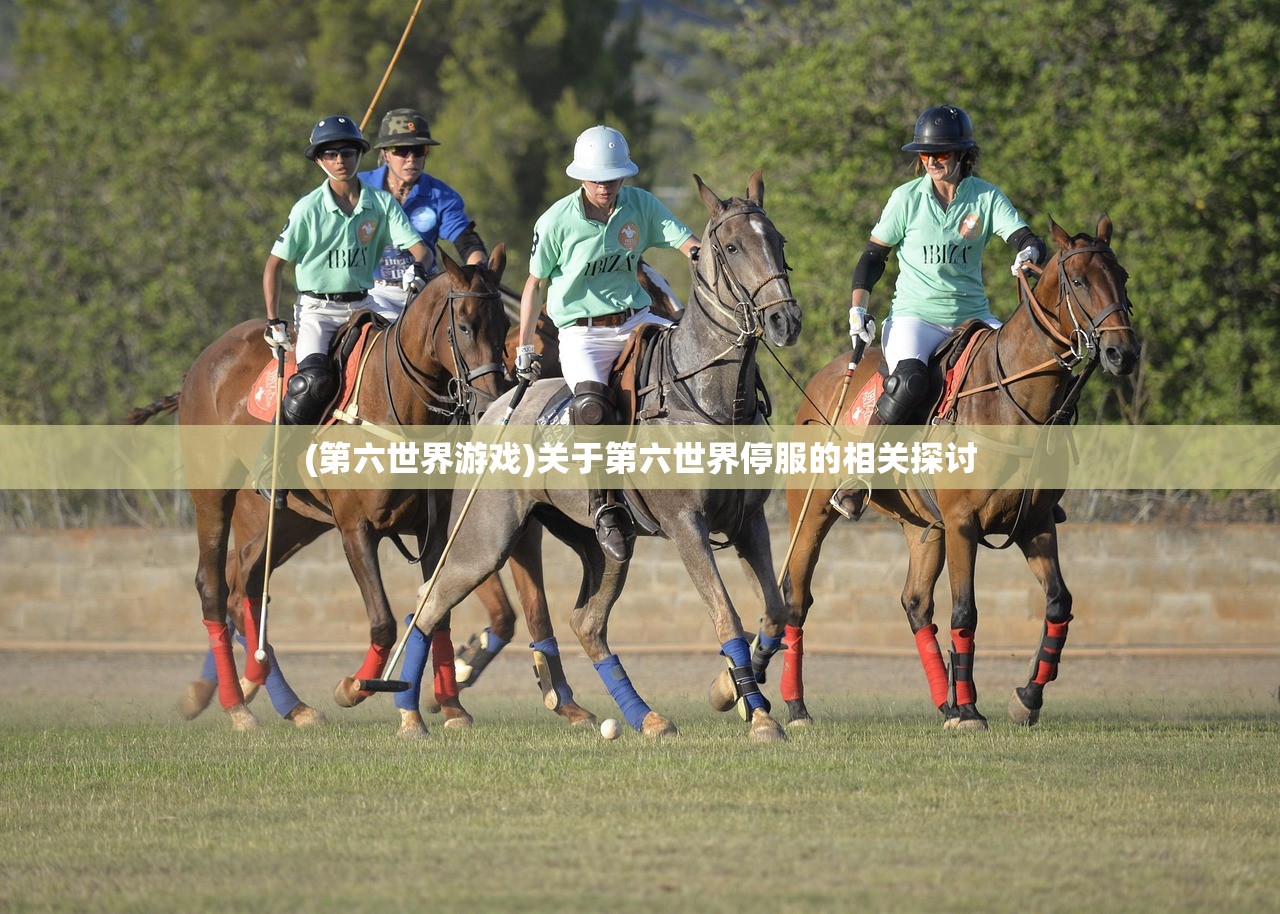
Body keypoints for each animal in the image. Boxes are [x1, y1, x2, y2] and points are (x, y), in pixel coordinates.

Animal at [394, 168, 803, 742]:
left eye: (779, 241)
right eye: (731, 246)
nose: (786, 321)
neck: (710, 398)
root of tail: (496, 406)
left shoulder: (749, 523)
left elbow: (773, 610)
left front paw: (728, 692)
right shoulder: (687, 525)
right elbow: (727, 615)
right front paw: (760, 714)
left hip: (603, 545)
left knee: (587, 623)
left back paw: (646, 717)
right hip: (485, 537)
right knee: (429, 605)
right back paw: (411, 716)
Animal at [752, 213, 1136, 727]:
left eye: (1123, 277)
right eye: (1077, 281)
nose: (1123, 353)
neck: (1012, 401)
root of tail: (825, 377)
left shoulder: (1034, 523)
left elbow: (1059, 602)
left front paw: (1025, 698)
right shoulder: (962, 523)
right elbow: (965, 612)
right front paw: (973, 709)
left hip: (923, 527)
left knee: (916, 603)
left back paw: (944, 702)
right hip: (812, 508)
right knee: (797, 595)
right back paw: (796, 706)